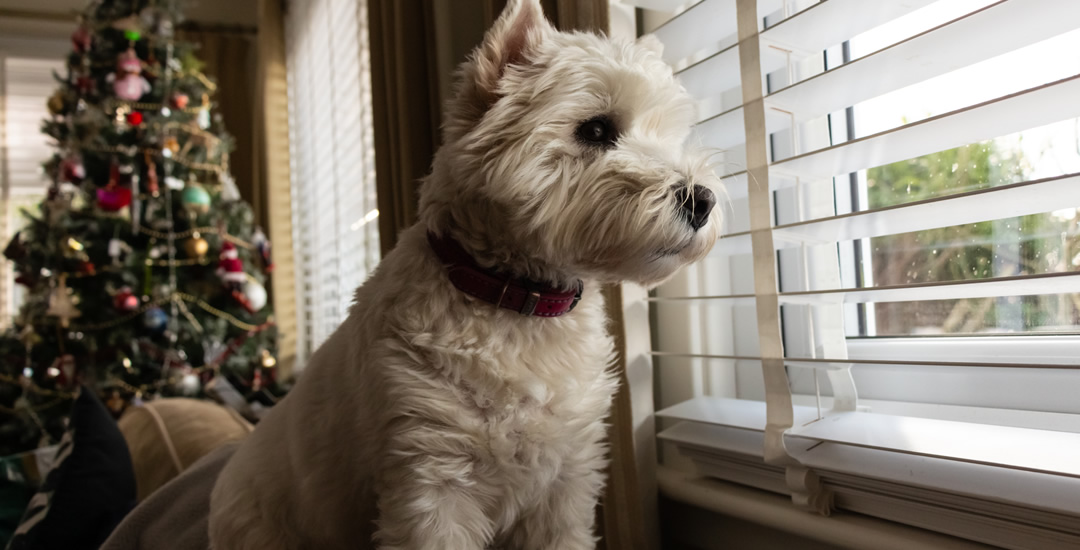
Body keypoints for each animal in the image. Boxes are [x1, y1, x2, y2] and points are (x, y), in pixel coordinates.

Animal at [208, 1, 717, 544]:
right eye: (596, 130)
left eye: (669, 134)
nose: (702, 200)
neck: (518, 299)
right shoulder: (431, 482)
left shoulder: (566, 486)